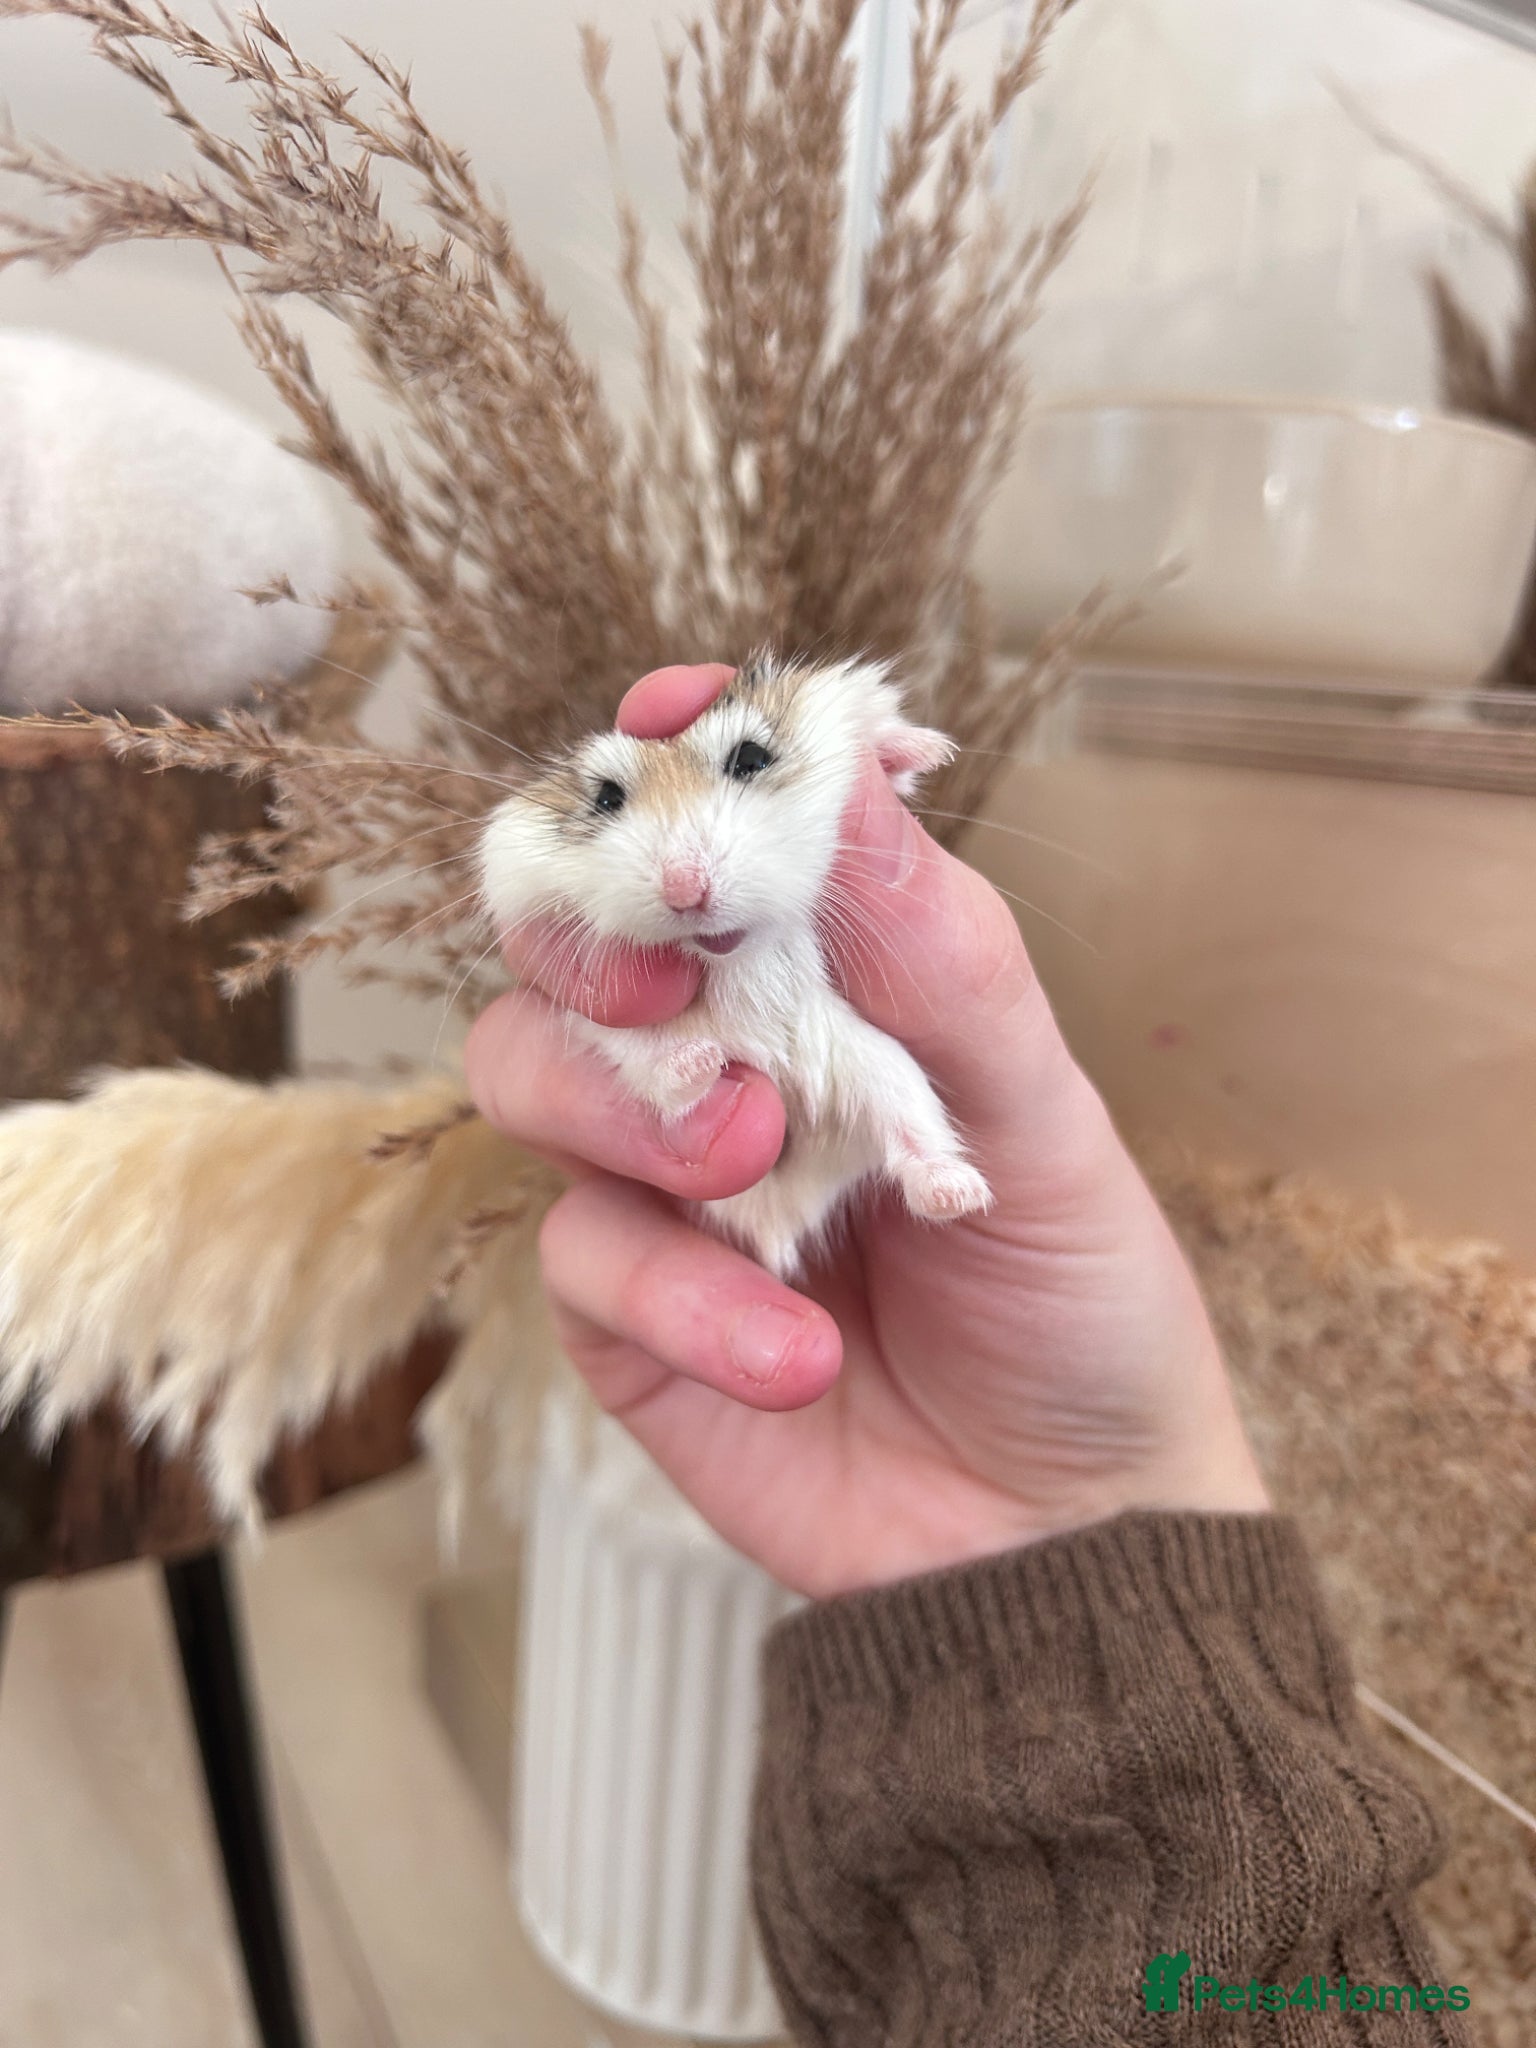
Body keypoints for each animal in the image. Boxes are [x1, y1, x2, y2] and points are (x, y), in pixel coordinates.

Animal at [477, 653, 991, 1280]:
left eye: (751, 758)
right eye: (606, 798)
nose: (685, 891)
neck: (737, 954)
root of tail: (780, 1216)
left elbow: (880, 737)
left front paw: (929, 750)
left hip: (880, 1065)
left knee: (914, 1132)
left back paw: (955, 1195)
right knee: (662, 1078)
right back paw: (702, 1060)